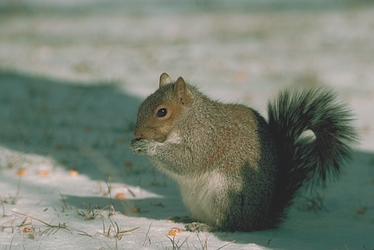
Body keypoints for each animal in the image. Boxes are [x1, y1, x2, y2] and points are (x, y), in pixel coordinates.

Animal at [130, 72, 358, 232]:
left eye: (162, 112)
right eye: (141, 105)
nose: (137, 133)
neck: (190, 119)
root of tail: (260, 219)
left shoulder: (205, 139)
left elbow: (186, 160)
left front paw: (147, 146)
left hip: (226, 194)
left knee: (230, 225)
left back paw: (205, 226)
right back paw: (189, 218)